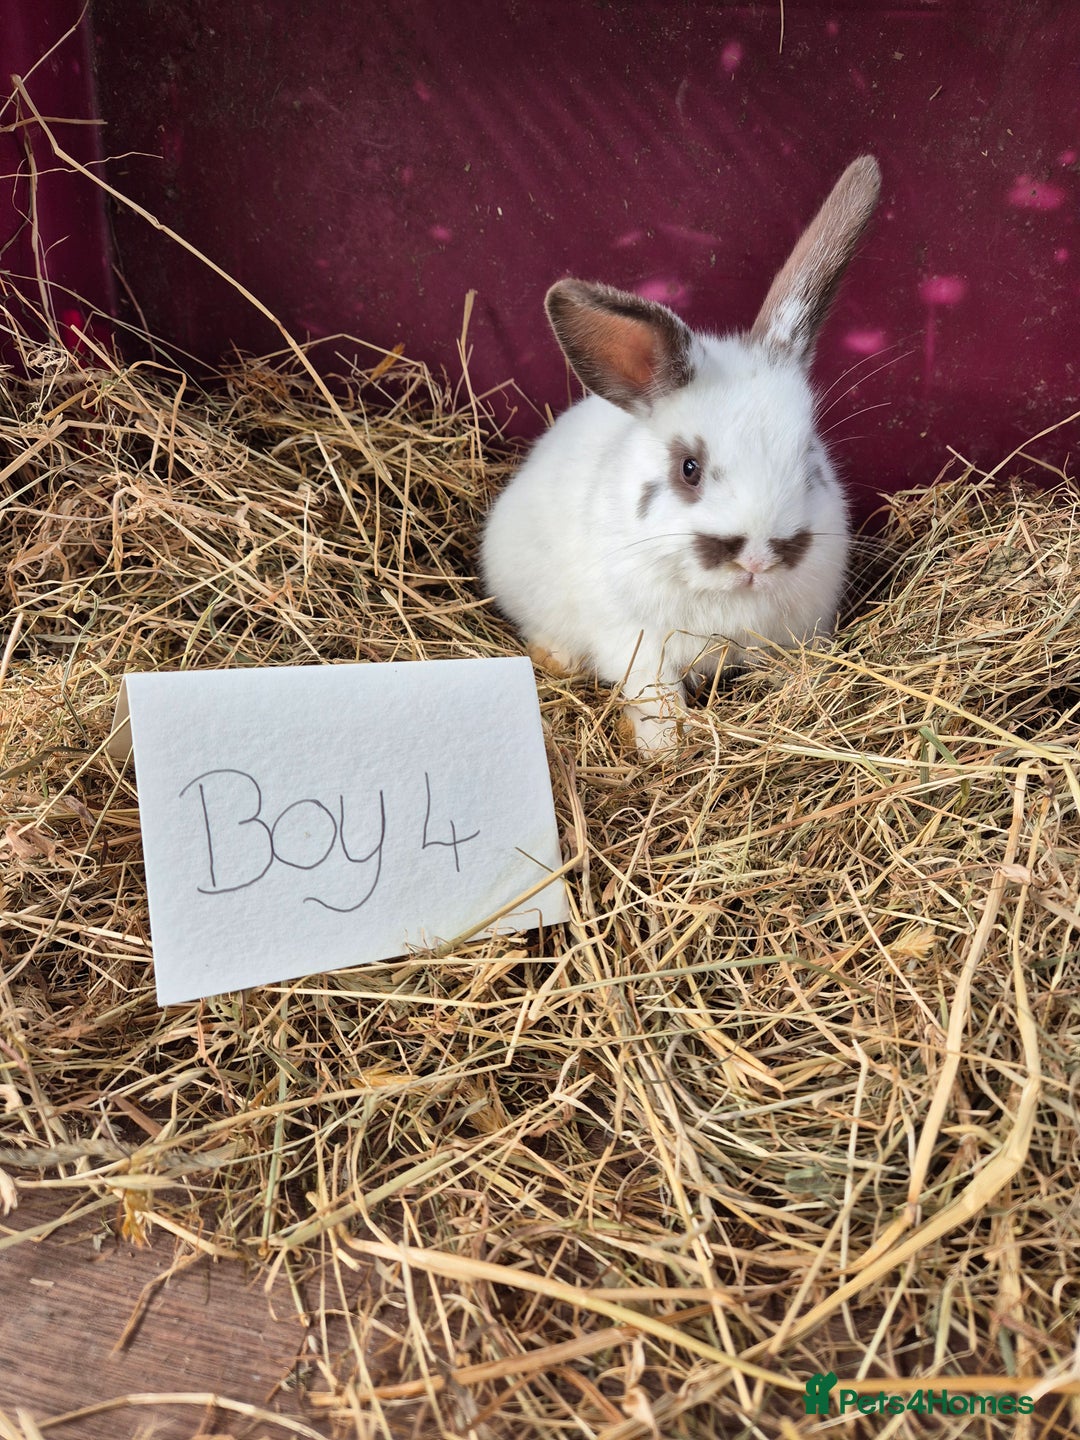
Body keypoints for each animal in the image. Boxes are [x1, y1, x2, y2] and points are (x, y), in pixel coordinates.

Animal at [480, 156, 881, 751]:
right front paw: (664, 752)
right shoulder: (637, 643)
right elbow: (657, 699)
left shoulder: (793, 632)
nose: (757, 559)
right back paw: (554, 659)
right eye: (689, 469)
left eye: (809, 461)